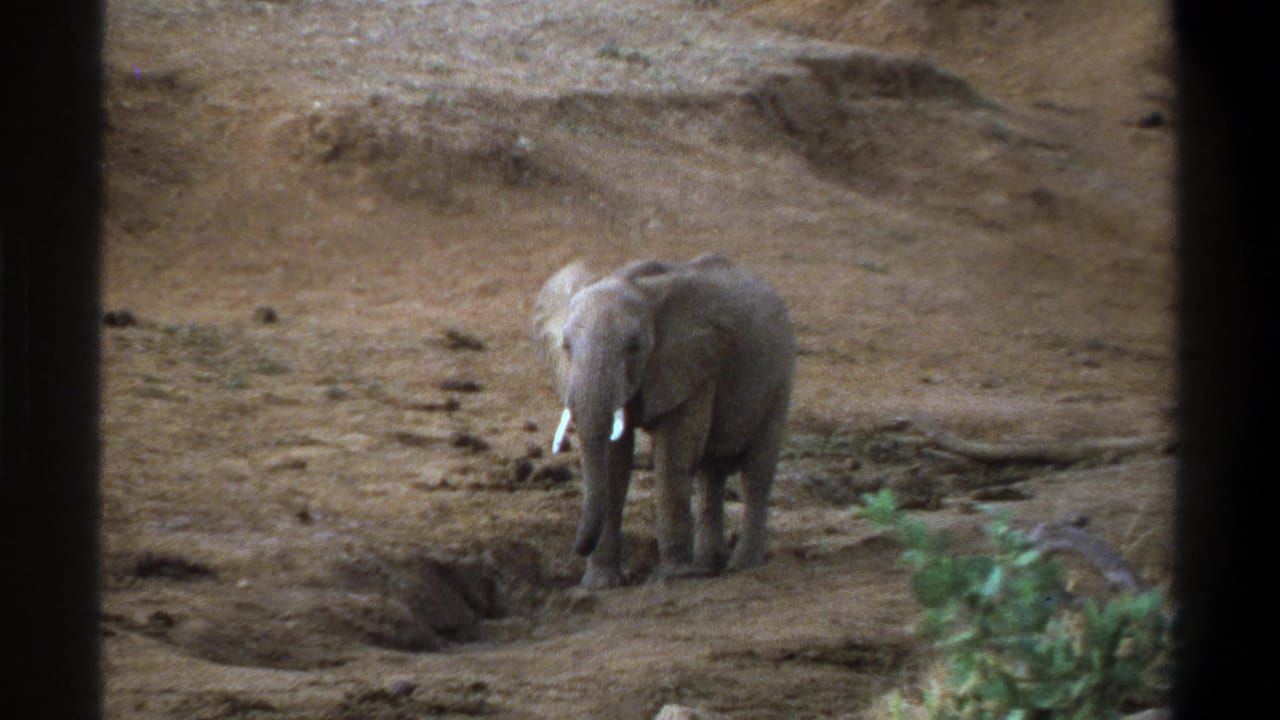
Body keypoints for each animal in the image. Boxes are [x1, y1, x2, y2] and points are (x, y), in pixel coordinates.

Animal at [531, 253, 795, 588]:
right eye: (566, 347)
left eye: (634, 347)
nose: (577, 548)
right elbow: (614, 463)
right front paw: (601, 585)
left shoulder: (694, 365)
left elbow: (672, 457)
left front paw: (675, 576)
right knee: (711, 472)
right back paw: (709, 565)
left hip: (781, 377)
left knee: (756, 472)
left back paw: (742, 565)